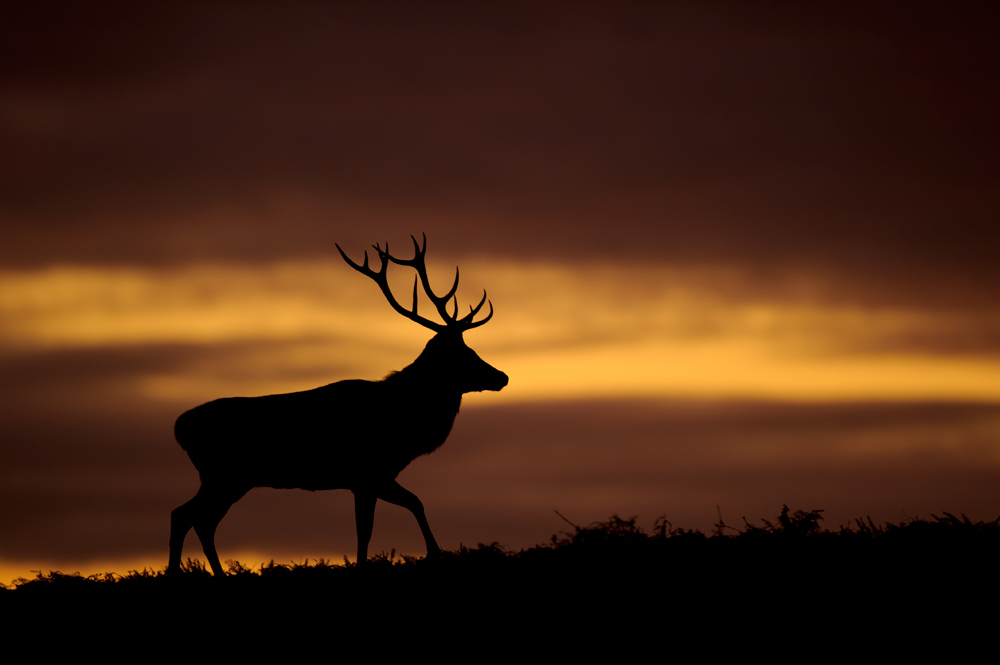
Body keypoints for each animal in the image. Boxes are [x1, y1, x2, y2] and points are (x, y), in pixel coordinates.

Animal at [168, 234, 508, 576]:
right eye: (464, 354)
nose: (502, 376)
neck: (406, 424)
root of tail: (179, 427)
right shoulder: (369, 472)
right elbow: (380, 522)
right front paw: (426, 555)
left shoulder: (371, 478)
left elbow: (400, 510)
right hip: (224, 475)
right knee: (187, 516)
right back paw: (183, 572)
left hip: (229, 479)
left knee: (196, 519)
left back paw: (213, 573)